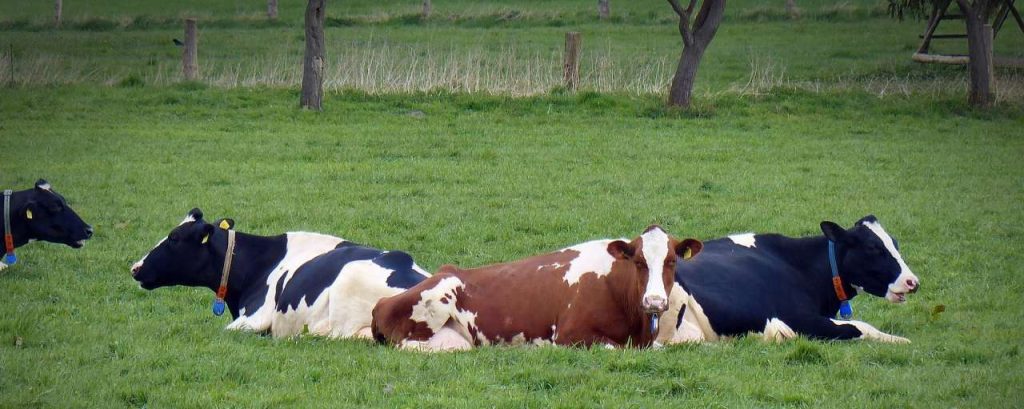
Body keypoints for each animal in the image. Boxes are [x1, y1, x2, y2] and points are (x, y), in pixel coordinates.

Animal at [372, 225, 704, 351]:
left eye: (672, 261)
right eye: (638, 261)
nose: (655, 301)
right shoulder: (571, 334)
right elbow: (614, 347)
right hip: (439, 296)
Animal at [657, 215, 920, 345]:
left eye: (895, 243)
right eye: (873, 248)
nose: (913, 282)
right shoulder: (800, 319)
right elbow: (860, 326)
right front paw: (900, 340)